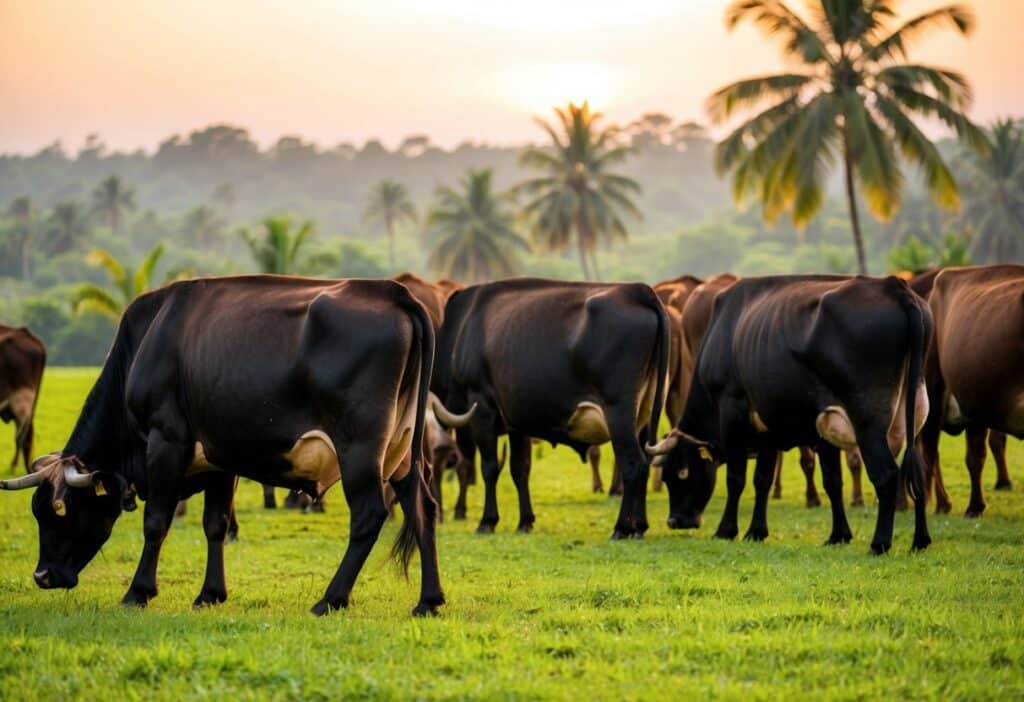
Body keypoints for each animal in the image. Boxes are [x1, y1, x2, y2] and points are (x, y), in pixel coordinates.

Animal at [428, 276, 667, 540]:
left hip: (618, 411)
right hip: (643, 415)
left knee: (633, 463)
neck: (460, 327)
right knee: (645, 462)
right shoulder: (516, 422)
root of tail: (637, 291)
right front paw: (525, 521)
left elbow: (489, 467)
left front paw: (487, 521)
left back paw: (621, 527)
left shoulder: (482, 408)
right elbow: (519, 469)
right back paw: (640, 526)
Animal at [647, 274, 937, 556]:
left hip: (868, 424)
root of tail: (894, 287)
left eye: (680, 473)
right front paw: (832, 534)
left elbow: (736, 478)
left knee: (886, 475)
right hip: (913, 415)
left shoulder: (732, 412)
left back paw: (879, 543)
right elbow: (806, 480)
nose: (675, 521)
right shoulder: (792, 428)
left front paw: (726, 530)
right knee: (918, 473)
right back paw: (920, 540)